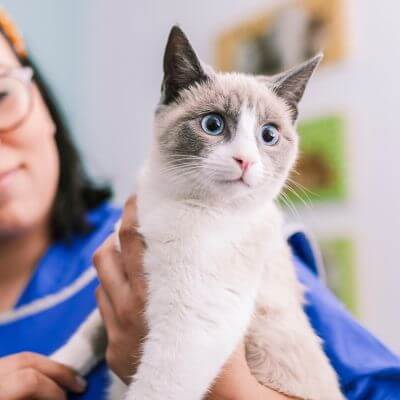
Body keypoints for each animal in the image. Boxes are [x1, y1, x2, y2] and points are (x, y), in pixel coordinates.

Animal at [50, 27, 344, 400]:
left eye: (269, 135)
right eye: (213, 124)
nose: (245, 160)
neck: (177, 202)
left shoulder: (191, 323)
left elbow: (153, 388)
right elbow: (88, 332)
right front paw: (52, 369)